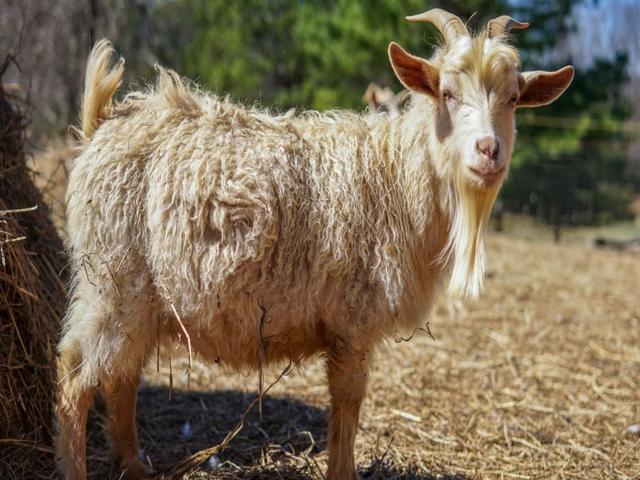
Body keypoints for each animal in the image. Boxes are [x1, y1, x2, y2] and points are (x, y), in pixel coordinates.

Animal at [55, 9, 573, 480]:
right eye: (446, 93)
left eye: (513, 98)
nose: (489, 151)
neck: (395, 174)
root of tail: (103, 123)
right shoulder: (351, 321)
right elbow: (347, 403)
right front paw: (343, 472)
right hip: (113, 282)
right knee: (75, 374)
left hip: (143, 300)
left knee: (120, 376)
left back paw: (134, 466)